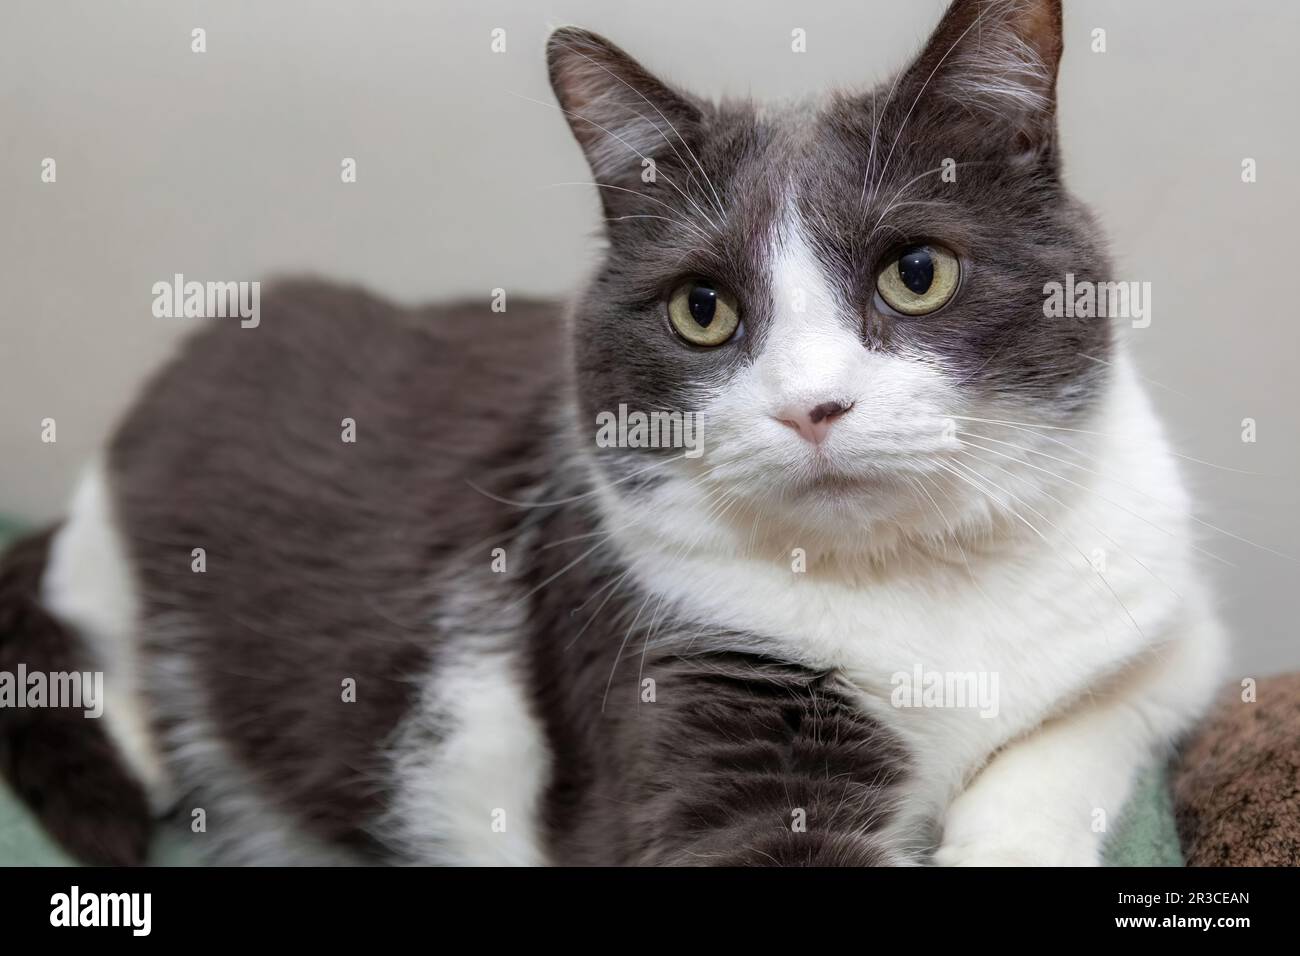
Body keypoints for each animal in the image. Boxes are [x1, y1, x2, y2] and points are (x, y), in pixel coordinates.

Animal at [0, 0, 1222, 868]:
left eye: (916, 273)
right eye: (702, 309)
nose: (811, 405)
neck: (917, 577)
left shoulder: (1169, 627)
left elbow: (1087, 726)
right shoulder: (684, 676)